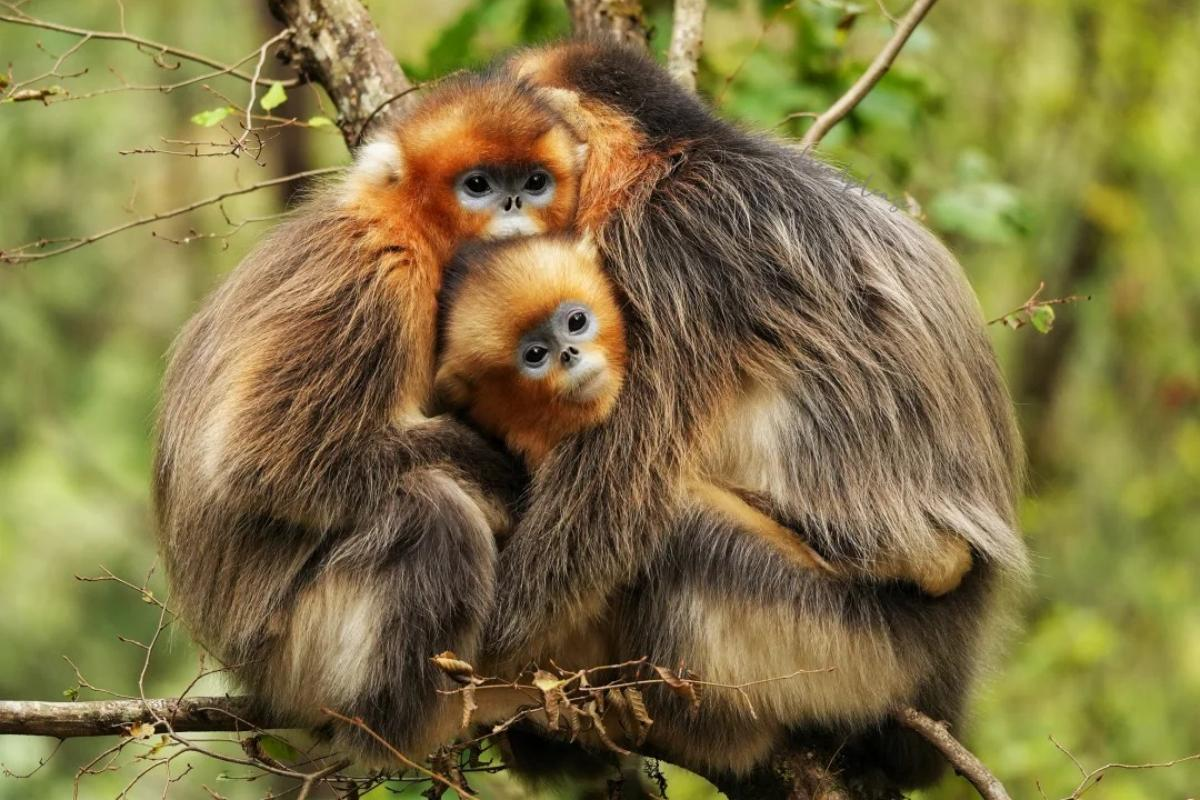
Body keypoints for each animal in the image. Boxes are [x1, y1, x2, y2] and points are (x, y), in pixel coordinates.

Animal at [152, 73, 588, 763]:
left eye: (535, 181)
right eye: (478, 185)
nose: (515, 204)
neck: (410, 230)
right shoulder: (376, 279)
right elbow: (263, 462)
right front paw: (495, 472)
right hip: (294, 653)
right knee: (431, 517)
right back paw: (396, 730)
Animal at [473, 40, 1030, 787]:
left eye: (525, 180)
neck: (676, 159)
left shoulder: (662, 254)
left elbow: (605, 510)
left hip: (849, 645)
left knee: (680, 529)